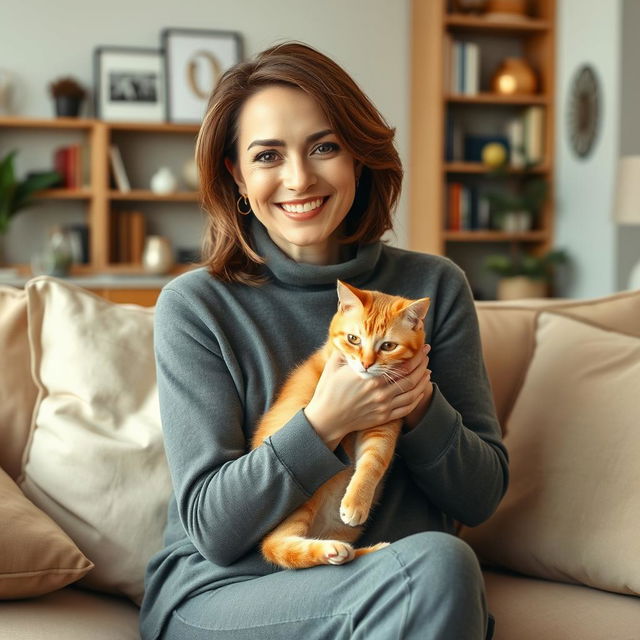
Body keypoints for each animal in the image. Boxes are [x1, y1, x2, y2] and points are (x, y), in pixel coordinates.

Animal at [251, 280, 430, 568]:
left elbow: (373, 462)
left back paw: (366, 549)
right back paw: (329, 550)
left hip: (340, 528)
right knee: (277, 546)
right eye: (353, 339)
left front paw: (356, 501)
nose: (366, 364)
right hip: (303, 502)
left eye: (388, 346)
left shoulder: (384, 427)